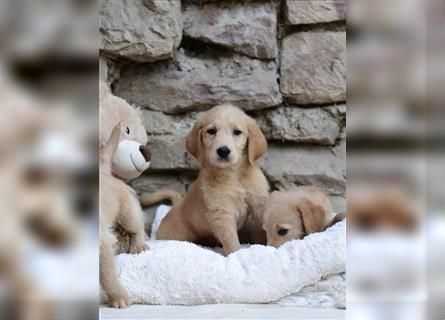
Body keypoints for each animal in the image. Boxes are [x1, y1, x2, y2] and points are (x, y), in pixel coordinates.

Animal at [140, 105, 268, 255]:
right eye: (211, 131)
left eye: (237, 132)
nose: (223, 151)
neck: (235, 175)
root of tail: (177, 203)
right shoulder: (221, 212)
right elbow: (231, 240)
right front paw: (237, 254)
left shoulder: (259, 203)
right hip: (177, 234)